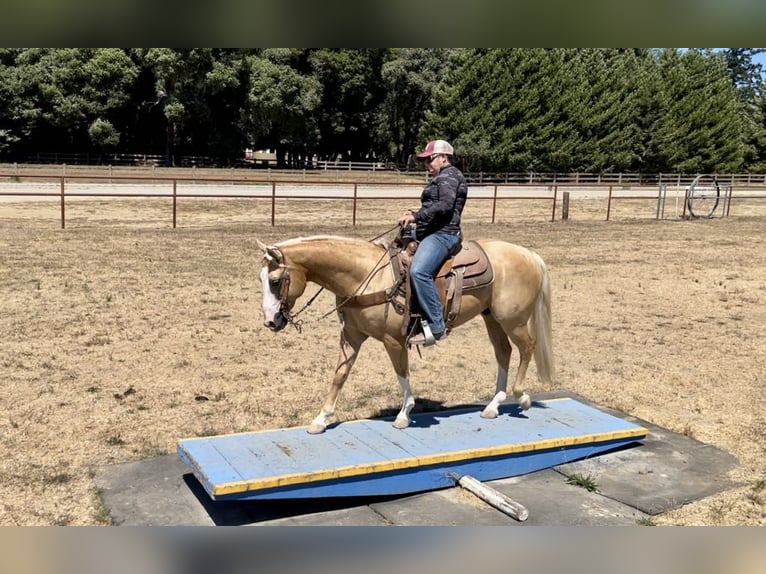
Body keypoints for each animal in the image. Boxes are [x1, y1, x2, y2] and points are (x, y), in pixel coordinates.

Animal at [256, 234, 554, 434]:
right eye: (261, 279)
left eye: (275, 281)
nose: (271, 321)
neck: (366, 276)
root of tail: (530, 255)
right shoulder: (351, 336)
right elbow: (340, 375)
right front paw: (321, 419)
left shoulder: (394, 341)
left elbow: (401, 374)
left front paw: (404, 413)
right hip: (492, 318)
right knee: (503, 352)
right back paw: (493, 405)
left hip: (513, 320)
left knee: (527, 347)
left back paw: (522, 396)